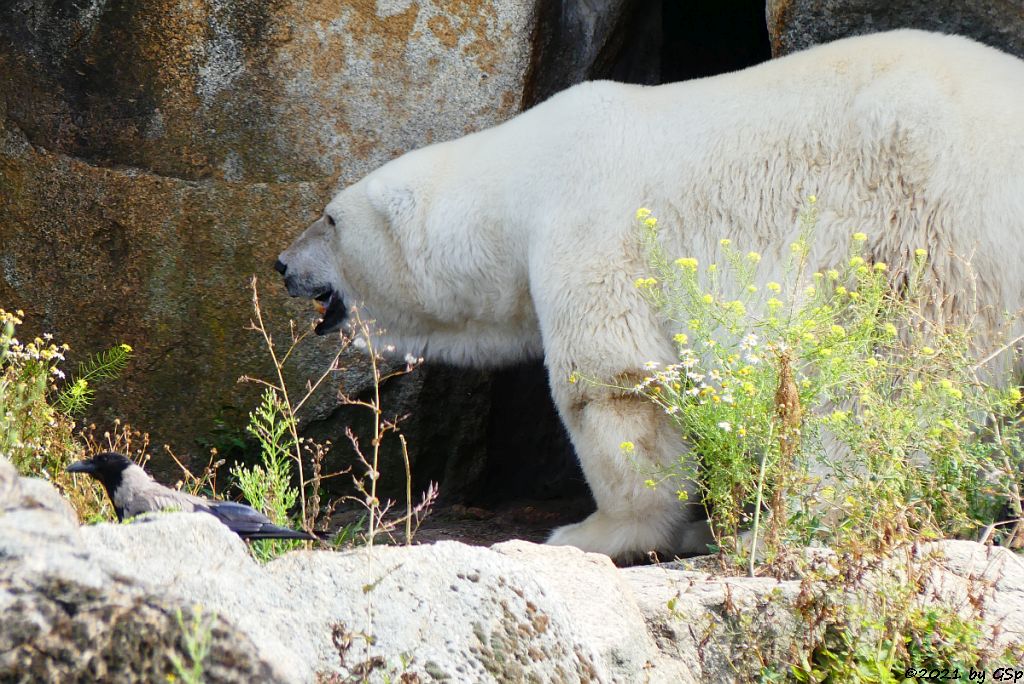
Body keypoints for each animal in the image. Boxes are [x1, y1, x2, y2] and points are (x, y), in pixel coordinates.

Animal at [278, 29, 1024, 557]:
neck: (521, 179)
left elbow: (614, 384)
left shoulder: (590, 223)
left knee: (885, 386)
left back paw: (779, 526)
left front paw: (593, 532)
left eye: (330, 218)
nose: (283, 263)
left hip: (926, 228)